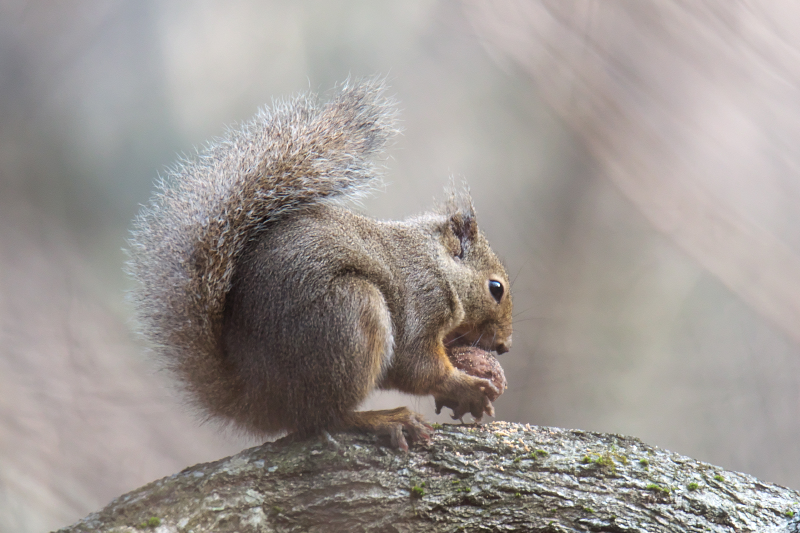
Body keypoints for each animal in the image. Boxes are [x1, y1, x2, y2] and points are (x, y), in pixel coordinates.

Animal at [126, 78, 512, 448]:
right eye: (496, 288)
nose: (504, 347)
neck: (437, 266)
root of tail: (258, 399)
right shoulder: (422, 299)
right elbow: (415, 365)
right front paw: (465, 386)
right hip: (352, 316)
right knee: (324, 417)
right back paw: (383, 419)